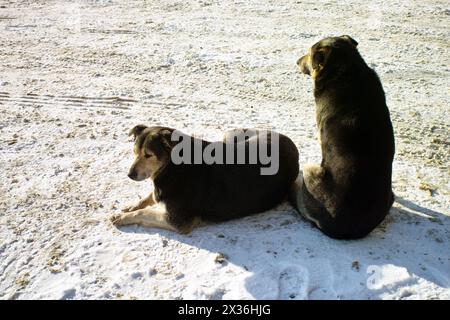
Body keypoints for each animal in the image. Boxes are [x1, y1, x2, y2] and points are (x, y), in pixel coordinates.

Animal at [110, 124, 298, 232]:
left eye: (148, 155)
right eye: (134, 152)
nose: (130, 174)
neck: (171, 167)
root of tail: (291, 143)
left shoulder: (178, 220)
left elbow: (144, 212)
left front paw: (122, 217)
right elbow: (148, 198)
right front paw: (131, 206)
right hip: (230, 136)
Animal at [290, 36, 396, 239]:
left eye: (309, 54)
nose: (297, 61)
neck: (349, 72)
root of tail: (344, 229)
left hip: (309, 169)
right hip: (389, 196)